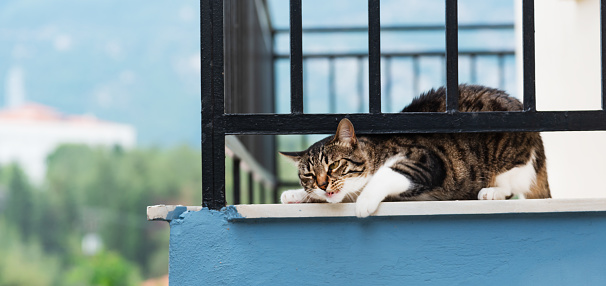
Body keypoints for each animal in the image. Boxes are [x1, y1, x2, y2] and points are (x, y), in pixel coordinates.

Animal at [282, 84, 552, 218]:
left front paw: (363, 201)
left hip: (511, 161)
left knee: (510, 186)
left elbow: (386, 174)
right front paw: (296, 194)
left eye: (334, 165)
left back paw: (492, 191)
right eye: (308, 175)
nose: (322, 185)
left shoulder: (425, 160)